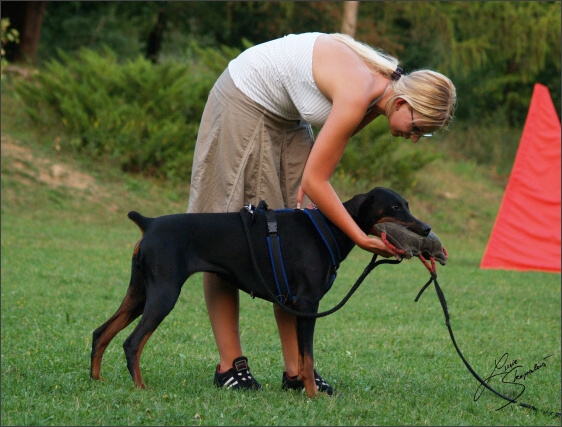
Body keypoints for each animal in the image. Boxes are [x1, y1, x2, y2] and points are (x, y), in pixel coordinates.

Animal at [89, 187, 428, 398]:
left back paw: (96, 379)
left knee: (100, 332)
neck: (329, 227)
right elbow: (307, 357)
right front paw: (313, 395)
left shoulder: (295, 303)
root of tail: (149, 224)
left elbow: (300, 355)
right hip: (163, 295)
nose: (425, 228)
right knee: (132, 343)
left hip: (139, 294)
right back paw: (140, 387)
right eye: (395, 206)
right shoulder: (308, 303)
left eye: (407, 204)